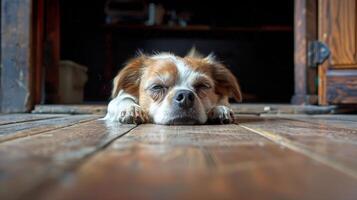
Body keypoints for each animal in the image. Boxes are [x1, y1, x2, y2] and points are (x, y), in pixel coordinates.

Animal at [103, 49, 242, 124]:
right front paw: (130, 108)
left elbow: (222, 103)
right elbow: (122, 99)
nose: (185, 96)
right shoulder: (119, 97)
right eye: (157, 87)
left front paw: (220, 109)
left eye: (202, 85)